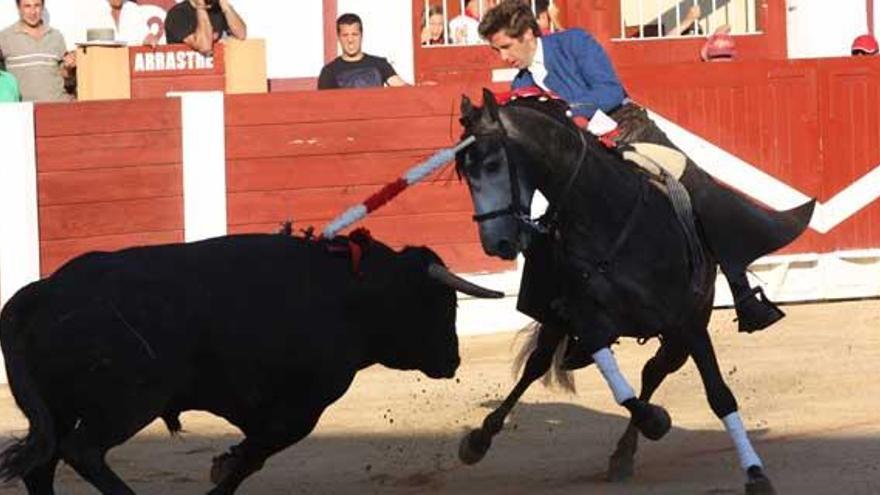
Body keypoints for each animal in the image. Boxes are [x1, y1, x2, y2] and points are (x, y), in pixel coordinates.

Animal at [0, 233, 502, 495]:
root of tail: (45, 290)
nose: (453, 358)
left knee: (42, 462)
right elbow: (253, 457)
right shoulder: (302, 407)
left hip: (58, 409)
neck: (352, 294)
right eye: (442, 305)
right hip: (125, 406)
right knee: (81, 451)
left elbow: (250, 454)